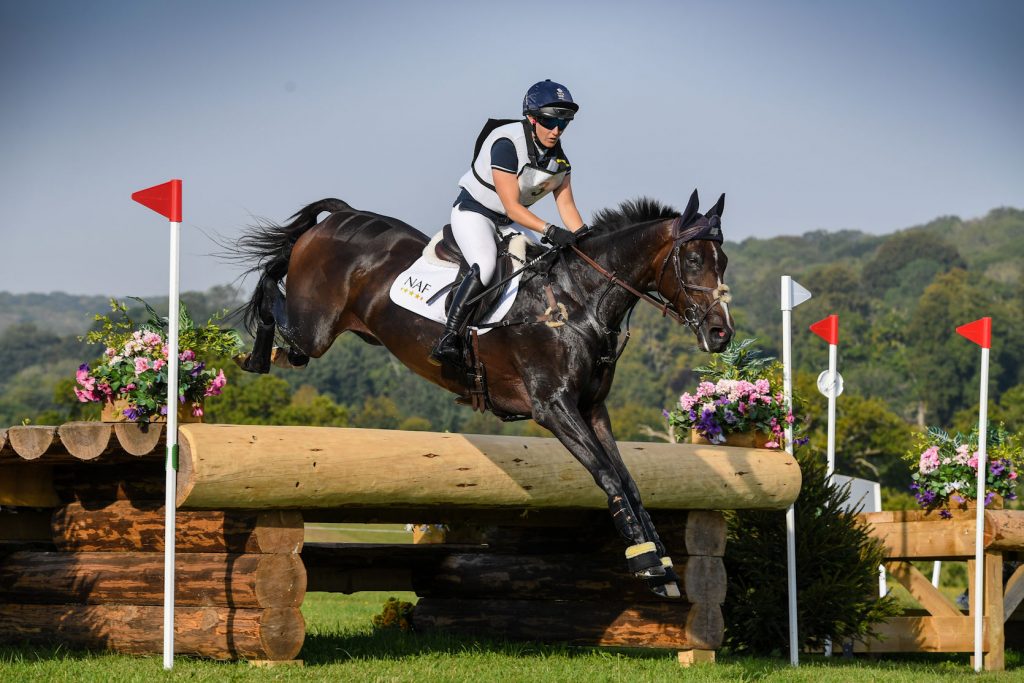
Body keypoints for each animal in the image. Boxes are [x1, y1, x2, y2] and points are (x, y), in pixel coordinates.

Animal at [229, 188, 734, 597]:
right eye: (692, 261)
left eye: (723, 262)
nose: (721, 333)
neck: (578, 303)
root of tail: (341, 217)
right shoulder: (554, 407)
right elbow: (608, 477)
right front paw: (647, 563)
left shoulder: (592, 409)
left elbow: (627, 481)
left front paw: (662, 564)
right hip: (313, 330)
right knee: (276, 296)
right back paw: (252, 355)